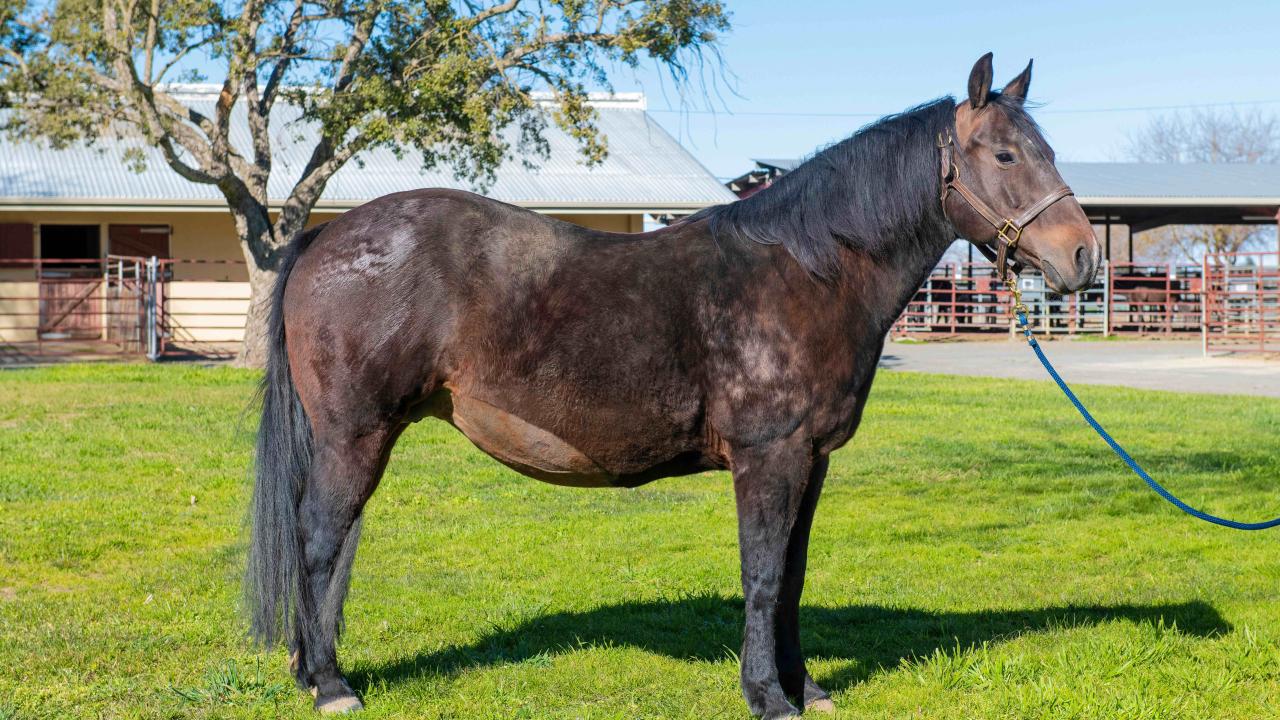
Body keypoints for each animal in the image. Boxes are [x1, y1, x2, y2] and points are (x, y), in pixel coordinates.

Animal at [246, 52, 1102, 718]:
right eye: (1004, 156)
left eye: (1047, 149)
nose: (1083, 259)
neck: (807, 272)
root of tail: (328, 235)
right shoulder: (769, 457)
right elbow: (762, 576)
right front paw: (768, 696)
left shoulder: (812, 461)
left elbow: (792, 577)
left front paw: (808, 687)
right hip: (356, 436)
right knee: (319, 543)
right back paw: (331, 685)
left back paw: (311, 672)